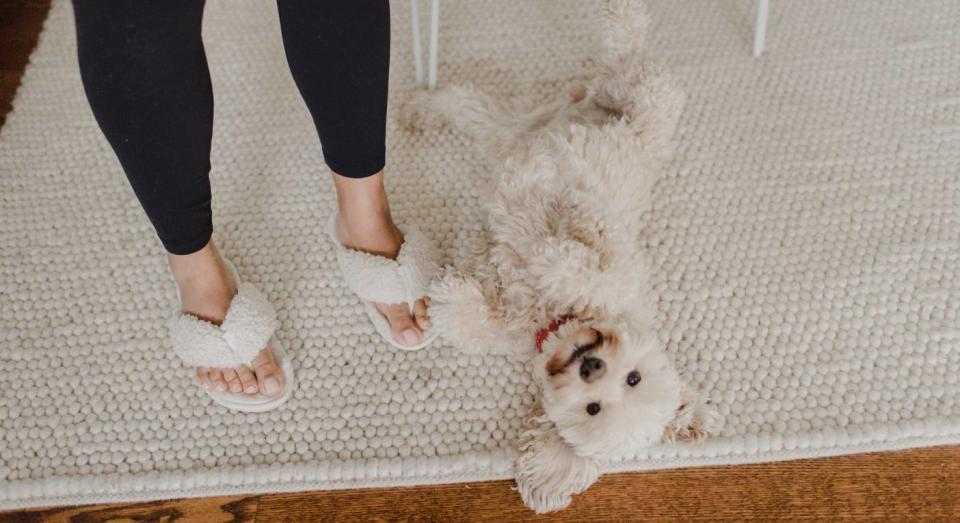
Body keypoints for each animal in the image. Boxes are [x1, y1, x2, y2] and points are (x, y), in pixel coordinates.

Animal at [398, 0, 720, 512]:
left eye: (595, 406)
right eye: (633, 378)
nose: (591, 365)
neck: (558, 316)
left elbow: (473, 319)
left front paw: (456, 294)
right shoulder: (615, 261)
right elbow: (589, 255)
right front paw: (558, 236)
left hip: (518, 129)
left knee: (477, 106)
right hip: (624, 102)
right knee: (624, 50)